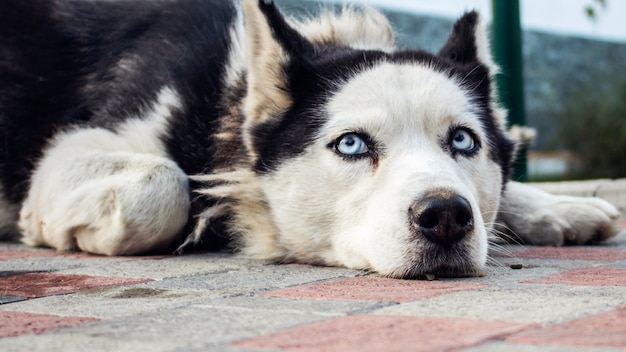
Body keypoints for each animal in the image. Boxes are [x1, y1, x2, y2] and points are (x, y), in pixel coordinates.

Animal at [0, 1, 616, 280]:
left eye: (464, 141)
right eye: (352, 145)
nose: (445, 215)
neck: (227, 94)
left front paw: (554, 207)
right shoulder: (79, 148)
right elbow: (162, 185)